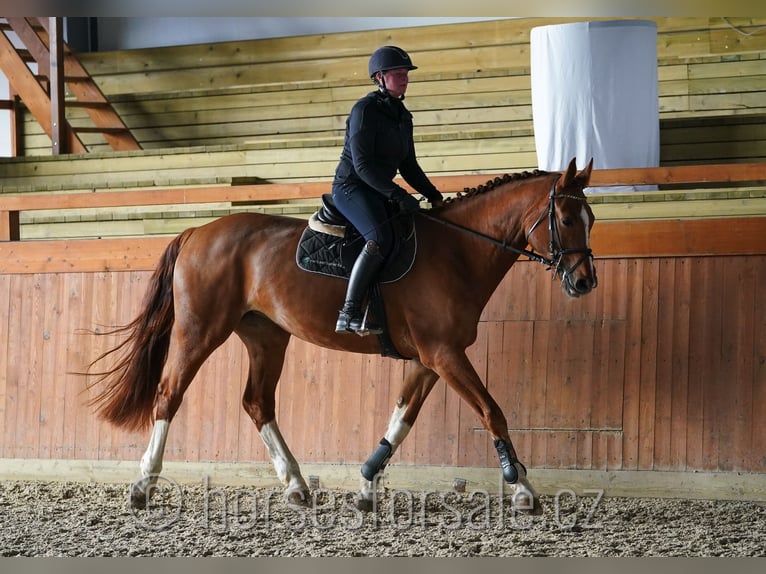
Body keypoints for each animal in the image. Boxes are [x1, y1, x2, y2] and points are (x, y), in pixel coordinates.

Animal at [85, 155, 600, 516]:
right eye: (566, 219)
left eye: (590, 219)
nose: (584, 283)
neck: (458, 252)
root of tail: (197, 232)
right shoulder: (444, 354)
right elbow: (493, 413)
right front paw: (523, 488)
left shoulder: (430, 359)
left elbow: (402, 418)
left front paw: (368, 483)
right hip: (199, 330)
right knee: (169, 394)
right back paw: (143, 485)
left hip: (266, 337)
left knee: (257, 403)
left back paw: (295, 486)